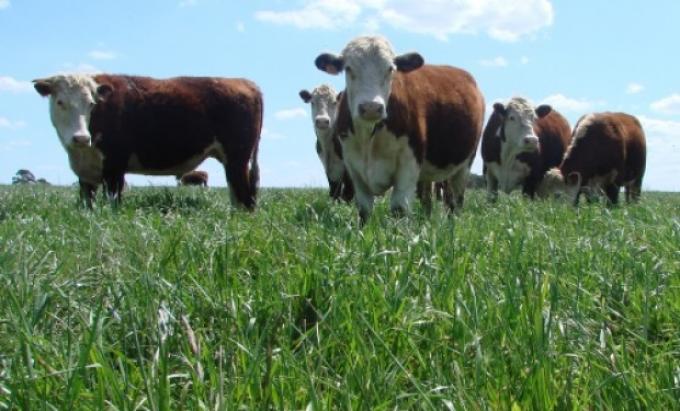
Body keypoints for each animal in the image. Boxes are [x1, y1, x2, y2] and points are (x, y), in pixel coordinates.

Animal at [33, 73, 262, 209]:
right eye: (60, 102)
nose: (81, 138)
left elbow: (113, 202)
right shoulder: (85, 175)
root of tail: (244, 82)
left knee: (244, 196)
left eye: (91, 103)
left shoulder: (114, 166)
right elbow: (87, 203)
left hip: (237, 158)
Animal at [316, 35, 486, 222]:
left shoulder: (409, 163)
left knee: (455, 200)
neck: (368, 136)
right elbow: (364, 210)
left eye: (390, 69)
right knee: (429, 199)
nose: (371, 107)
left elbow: (399, 209)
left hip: (465, 164)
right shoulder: (353, 167)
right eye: (348, 68)